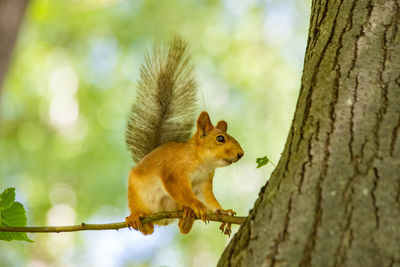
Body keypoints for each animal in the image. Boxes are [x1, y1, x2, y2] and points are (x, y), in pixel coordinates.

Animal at [124, 36, 244, 237]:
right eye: (220, 138)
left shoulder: (204, 184)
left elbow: (210, 200)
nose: (241, 154)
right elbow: (180, 190)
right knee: (147, 229)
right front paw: (197, 205)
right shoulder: (174, 173)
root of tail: (163, 219)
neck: (203, 161)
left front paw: (223, 211)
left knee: (180, 227)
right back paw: (136, 217)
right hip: (139, 197)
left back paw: (187, 216)